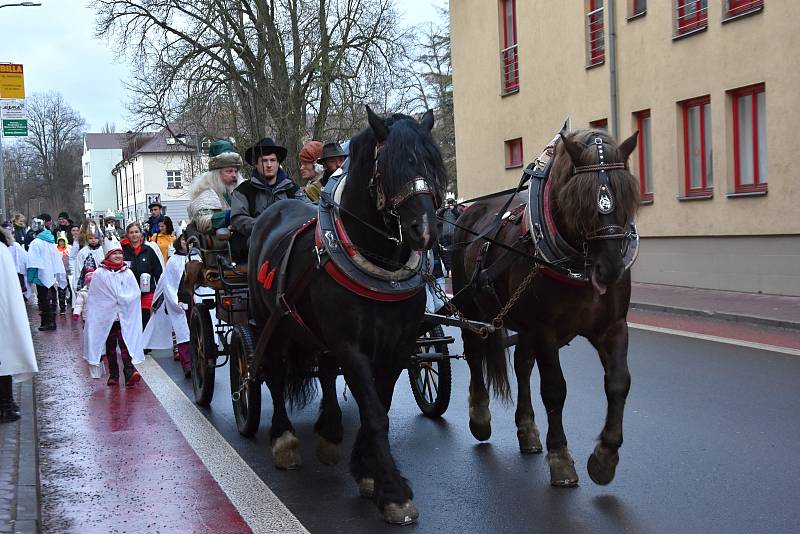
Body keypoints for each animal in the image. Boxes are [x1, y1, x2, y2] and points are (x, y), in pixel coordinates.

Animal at [247, 107, 446, 524]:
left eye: (433, 164)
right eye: (389, 168)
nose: (425, 230)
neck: (378, 264)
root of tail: (273, 210)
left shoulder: (397, 347)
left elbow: (379, 404)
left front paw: (368, 472)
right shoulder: (352, 347)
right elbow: (374, 412)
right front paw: (393, 491)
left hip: (314, 330)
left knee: (323, 370)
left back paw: (330, 431)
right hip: (269, 321)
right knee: (273, 373)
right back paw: (285, 439)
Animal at [454, 129, 640, 490]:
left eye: (626, 196)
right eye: (580, 200)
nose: (611, 269)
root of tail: (468, 210)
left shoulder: (612, 326)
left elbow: (618, 382)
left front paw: (605, 457)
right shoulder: (546, 331)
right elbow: (555, 389)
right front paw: (560, 457)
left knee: (522, 365)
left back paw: (527, 429)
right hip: (471, 306)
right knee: (474, 353)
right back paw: (480, 416)